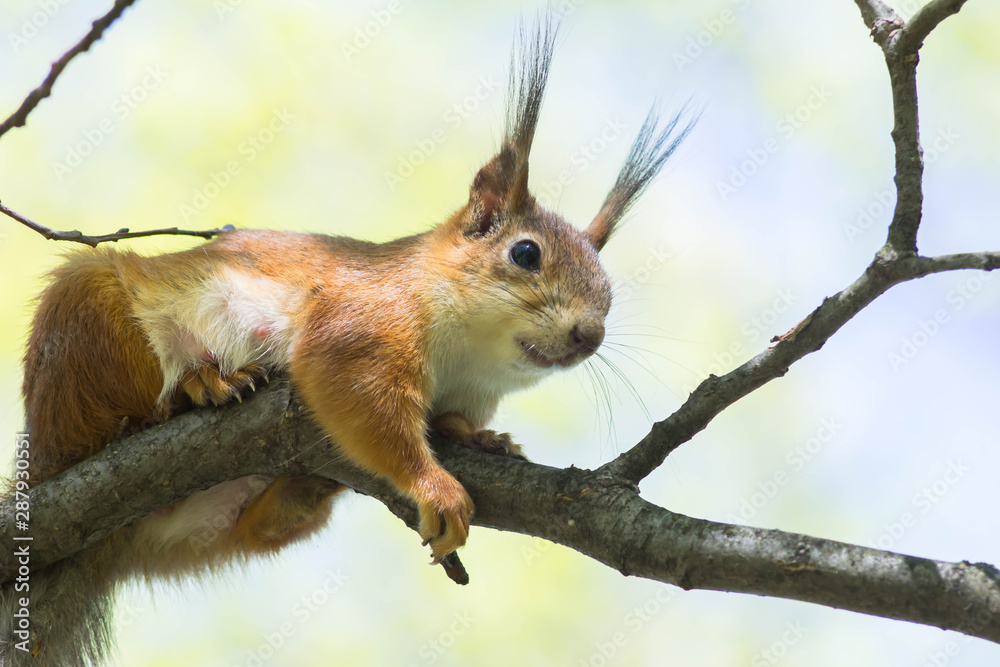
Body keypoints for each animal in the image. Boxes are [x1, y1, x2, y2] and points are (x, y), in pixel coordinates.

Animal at [1, 18, 694, 667]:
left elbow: (451, 420)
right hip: (87, 324)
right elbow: (360, 400)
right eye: (525, 254)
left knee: (257, 527)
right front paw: (434, 485)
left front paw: (483, 438)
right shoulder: (361, 325)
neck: (468, 354)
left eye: (609, 290)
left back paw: (300, 490)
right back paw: (195, 387)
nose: (589, 335)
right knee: (104, 415)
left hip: (199, 523)